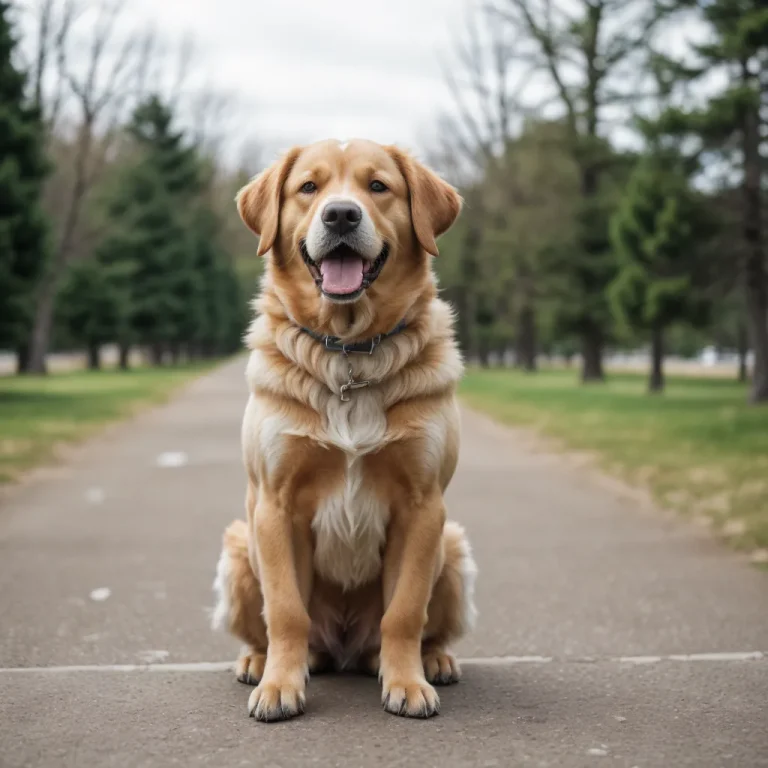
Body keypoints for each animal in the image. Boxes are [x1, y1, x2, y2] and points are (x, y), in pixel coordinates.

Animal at [210, 136, 474, 720]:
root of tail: (345, 649)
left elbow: (405, 611)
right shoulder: (274, 505)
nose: (341, 215)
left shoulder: (424, 507)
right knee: (267, 629)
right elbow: (286, 610)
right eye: (309, 187)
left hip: (453, 545)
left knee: (425, 626)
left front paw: (407, 683)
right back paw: (257, 662)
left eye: (378, 186)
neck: (350, 351)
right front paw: (280, 686)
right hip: (239, 546)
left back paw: (434, 661)